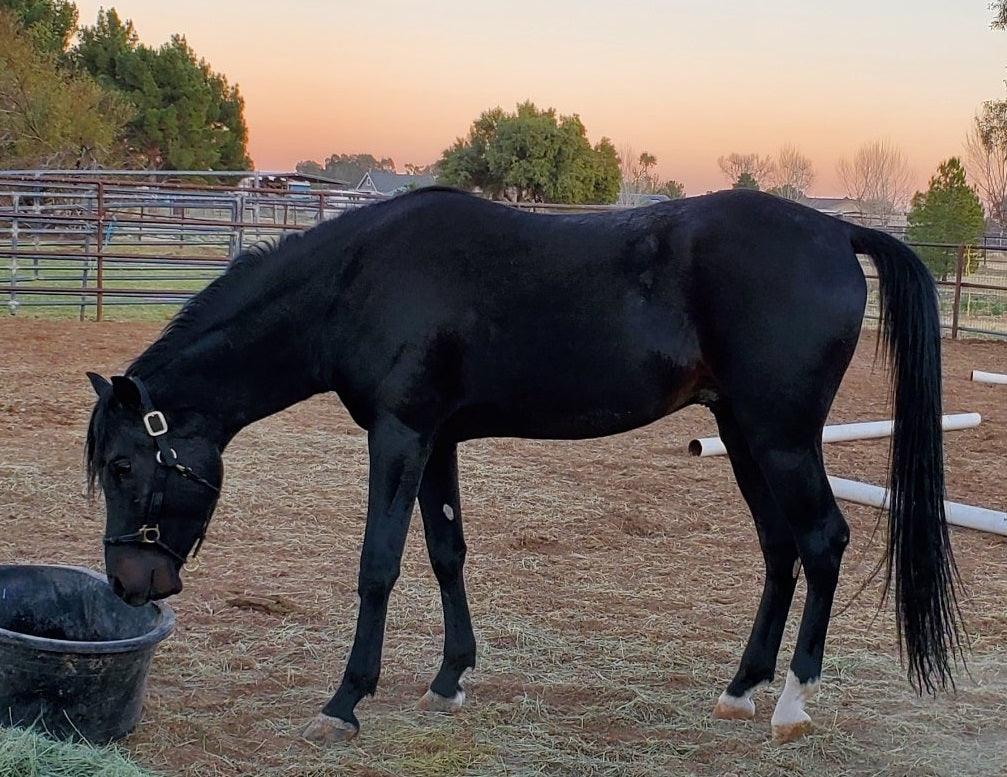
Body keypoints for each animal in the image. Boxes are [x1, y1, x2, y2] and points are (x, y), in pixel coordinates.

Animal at [84, 186, 958, 740]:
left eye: (125, 467)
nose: (128, 583)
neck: (358, 280)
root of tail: (835, 232)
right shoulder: (435, 440)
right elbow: (445, 551)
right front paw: (448, 680)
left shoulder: (399, 435)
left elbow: (378, 564)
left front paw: (345, 700)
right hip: (743, 433)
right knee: (779, 551)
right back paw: (740, 690)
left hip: (780, 438)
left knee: (822, 542)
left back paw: (792, 703)